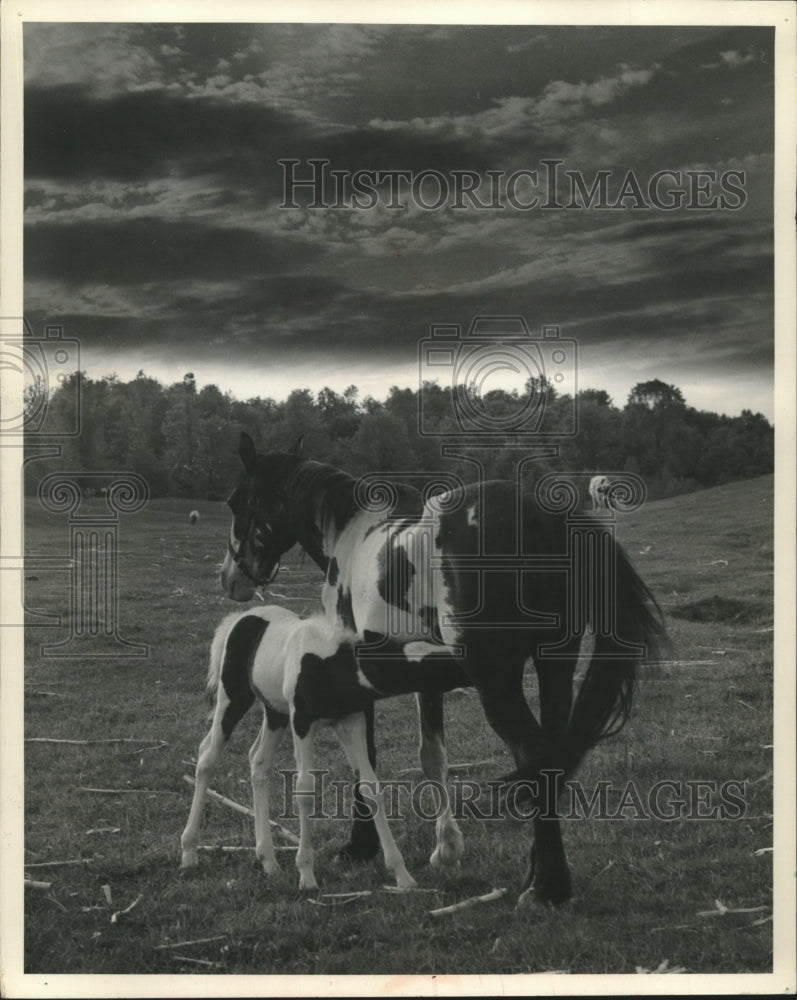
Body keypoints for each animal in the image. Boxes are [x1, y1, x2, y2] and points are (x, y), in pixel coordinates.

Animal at [181, 600, 416, 892]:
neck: (328, 659)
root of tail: (239, 618)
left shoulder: (351, 721)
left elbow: (371, 787)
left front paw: (402, 874)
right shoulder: (302, 722)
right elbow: (304, 789)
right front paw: (306, 874)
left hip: (275, 713)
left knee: (258, 761)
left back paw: (268, 860)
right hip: (233, 698)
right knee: (207, 758)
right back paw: (189, 852)